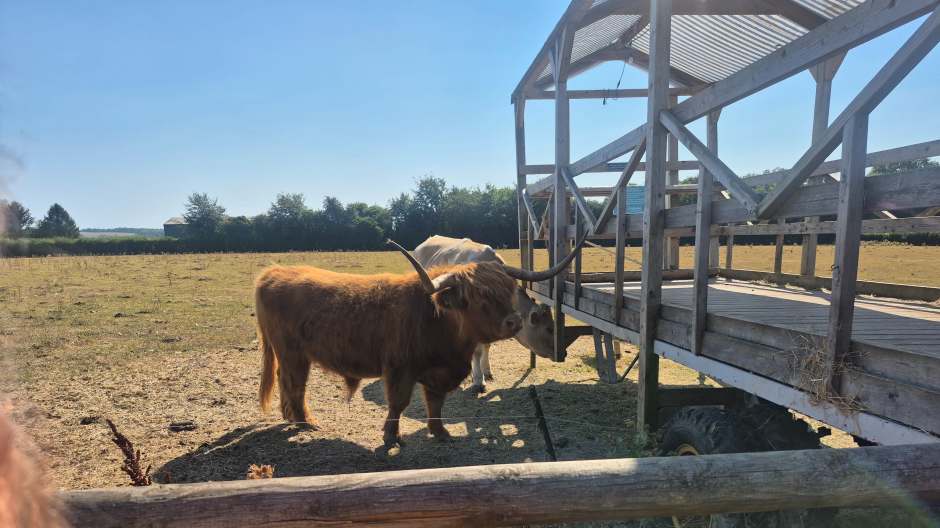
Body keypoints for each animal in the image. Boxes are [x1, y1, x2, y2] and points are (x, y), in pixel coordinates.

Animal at [414, 235, 558, 392]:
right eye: (549, 329)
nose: (561, 353)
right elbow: (477, 352)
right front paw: (478, 380)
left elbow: (486, 347)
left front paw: (487, 372)